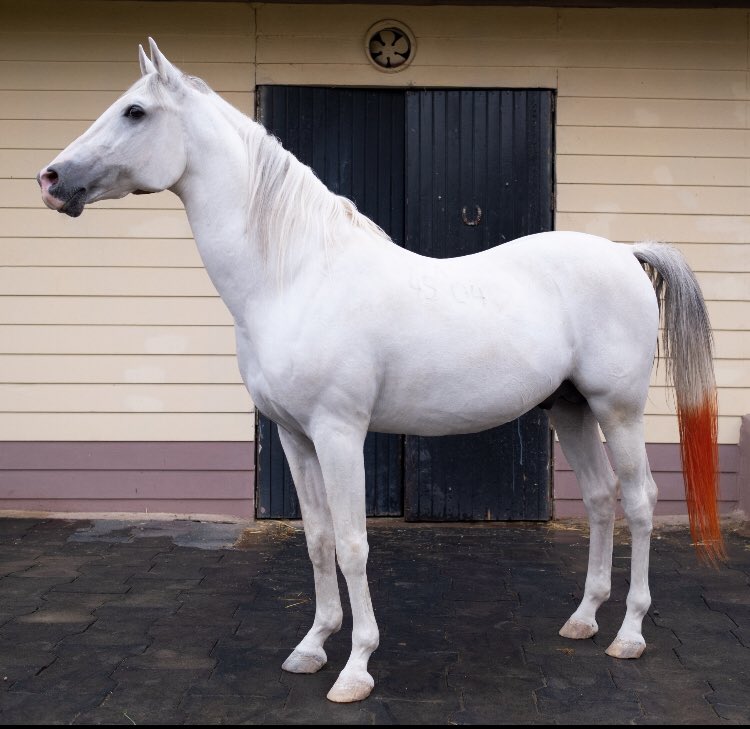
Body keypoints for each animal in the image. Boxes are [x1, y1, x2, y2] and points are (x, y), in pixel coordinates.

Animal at [38, 41, 724, 704]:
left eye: (134, 112)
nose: (50, 180)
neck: (296, 277)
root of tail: (625, 254)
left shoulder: (340, 433)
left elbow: (352, 544)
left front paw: (356, 669)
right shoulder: (295, 436)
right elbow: (317, 540)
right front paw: (312, 647)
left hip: (618, 410)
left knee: (639, 501)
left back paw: (629, 635)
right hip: (570, 409)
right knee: (602, 499)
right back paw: (582, 620)